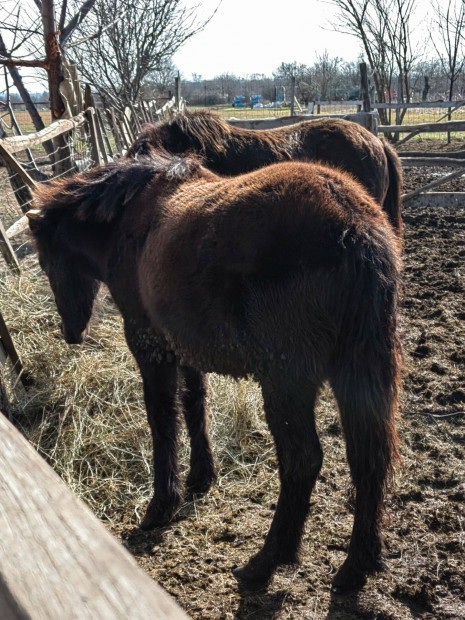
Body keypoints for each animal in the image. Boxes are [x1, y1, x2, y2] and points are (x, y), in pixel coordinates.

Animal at [29, 153, 398, 592]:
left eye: (46, 262)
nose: (71, 332)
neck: (129, 220)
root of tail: (353, 224)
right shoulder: (185, 347)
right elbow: (194, 406)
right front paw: (201, 477)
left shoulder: (149, 344)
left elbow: (162, 419)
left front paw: (162, 504)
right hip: (359, 371)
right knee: (369, 459)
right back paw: (356, 565)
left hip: (286, 380)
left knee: (303, 460)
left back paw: (266, 562)